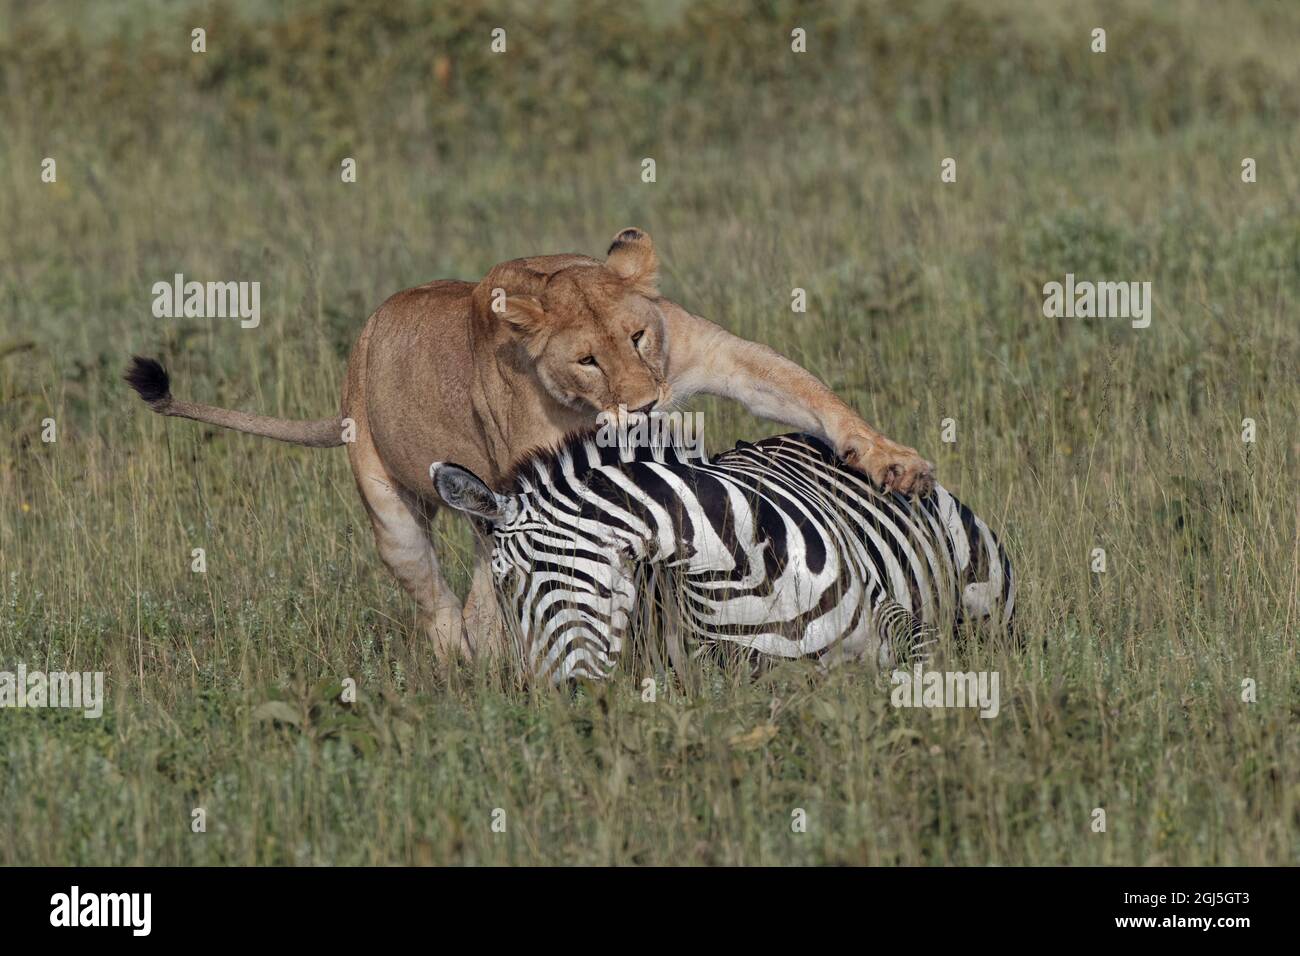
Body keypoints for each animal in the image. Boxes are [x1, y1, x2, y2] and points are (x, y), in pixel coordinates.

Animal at [431, 431, 1014, 684]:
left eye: (508, 583)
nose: (563, 699)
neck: (736, 566)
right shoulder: (729, 663)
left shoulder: (893, 614)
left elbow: (927, 663)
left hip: (984, 588)